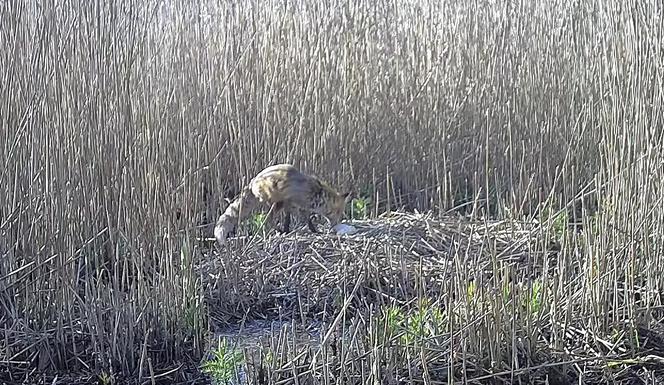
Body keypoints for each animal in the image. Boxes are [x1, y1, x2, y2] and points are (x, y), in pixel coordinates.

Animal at [217, 164, 352, 244]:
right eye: (337, 212)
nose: (335, 225)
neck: (314, 192)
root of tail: (252, 181)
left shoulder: (297, 206)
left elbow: (295, 219)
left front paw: (288, 230)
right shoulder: (293, 204)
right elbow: (304, 220)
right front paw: (314, 231)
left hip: (278, 203)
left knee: (268, 219)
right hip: (276, 202)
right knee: (268, 219)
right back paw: (278, 230)